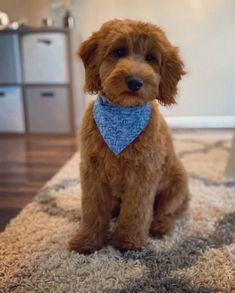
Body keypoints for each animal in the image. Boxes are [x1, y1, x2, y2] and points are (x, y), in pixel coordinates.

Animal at [69, 19, 190, 252]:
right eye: (119, 51)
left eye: (151, 58)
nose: (135, 82)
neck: (122, 117)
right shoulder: (92, 171)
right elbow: (92, 209)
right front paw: (87, 241)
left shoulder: (143, 174)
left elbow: (136, 210)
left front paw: (128, 241)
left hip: (176, 187)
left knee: (168, 214)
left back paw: (159, 226)